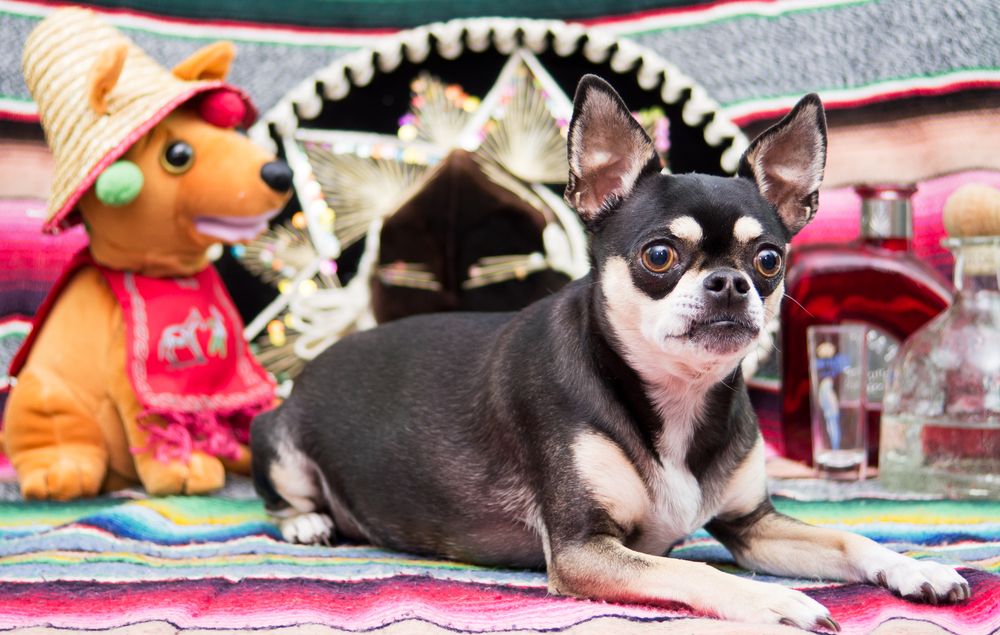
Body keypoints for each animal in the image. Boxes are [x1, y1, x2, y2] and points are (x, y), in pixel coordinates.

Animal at [254, 77, 972, 628]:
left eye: (769, 260)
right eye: (659, 255)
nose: (731, 282)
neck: (677, 398)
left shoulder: (753, 525)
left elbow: (847, 534)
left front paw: (918, 567)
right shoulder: (584, 548)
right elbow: (694, 571)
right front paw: (776, 600)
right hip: (279, 444)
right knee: (279, 497)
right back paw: (306, 524)